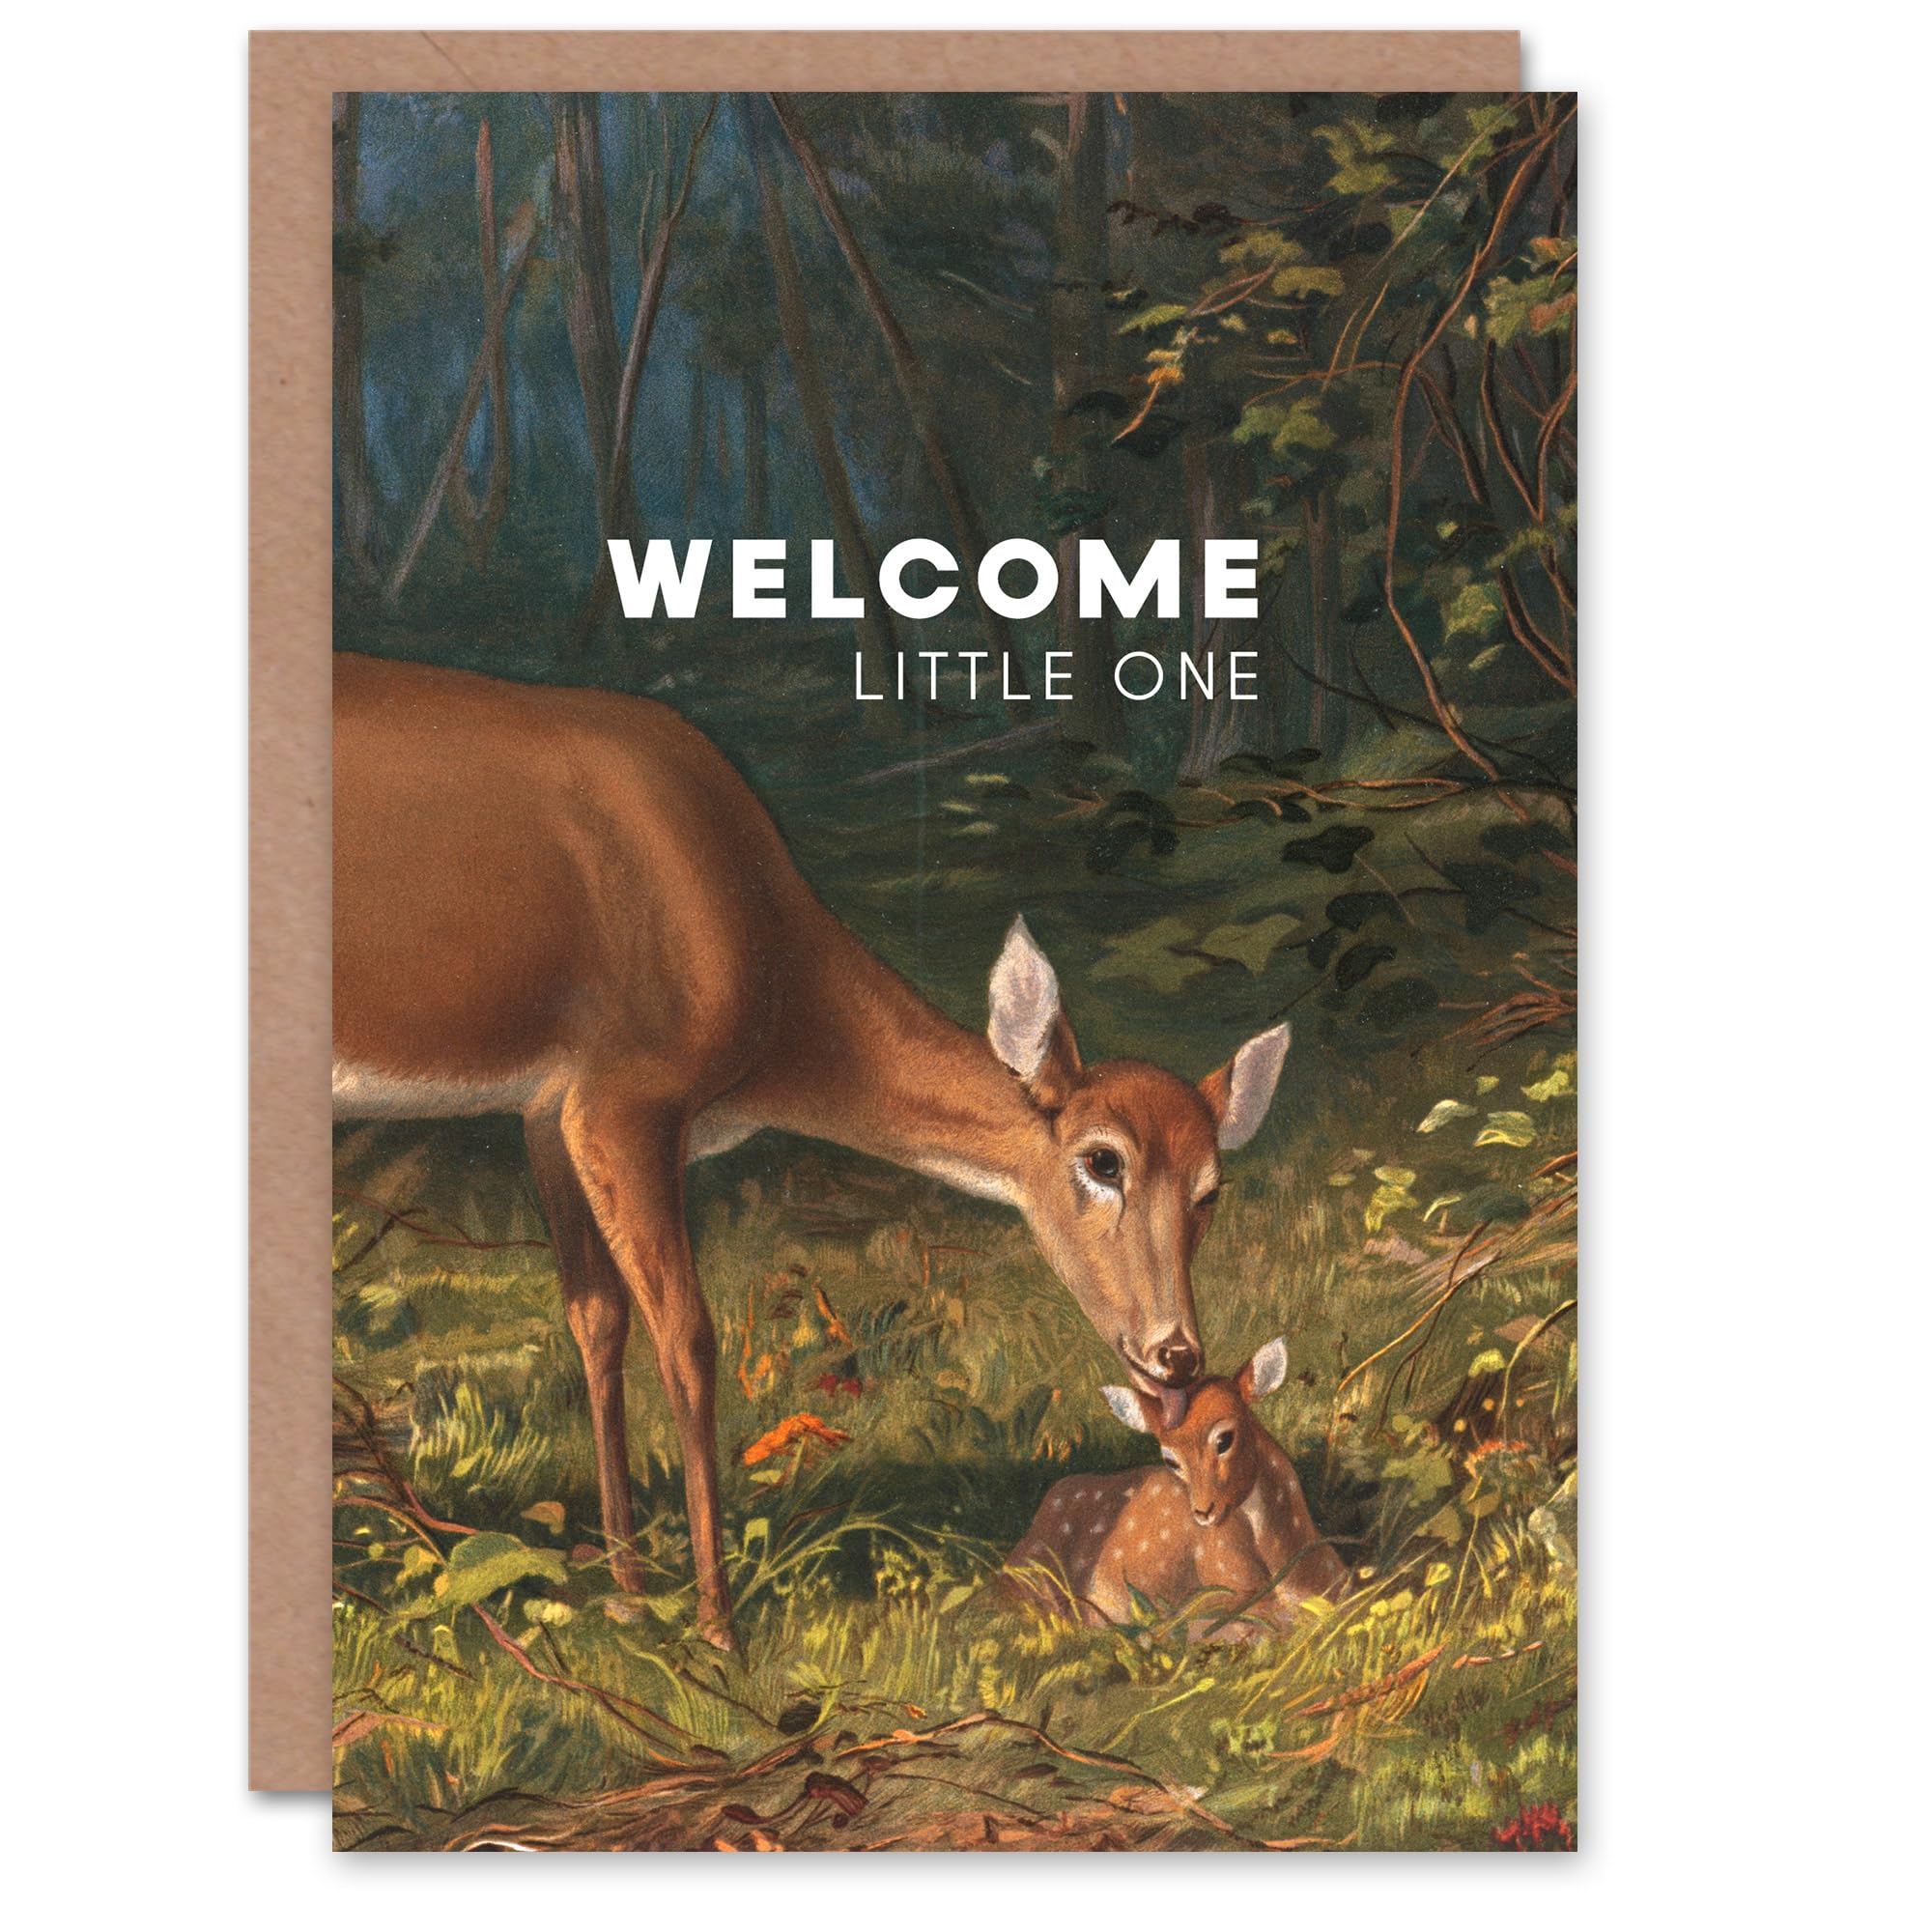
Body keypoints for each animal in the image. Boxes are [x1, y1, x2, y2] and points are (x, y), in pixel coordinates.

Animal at [333, 652, 1295, 1648]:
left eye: (1211, 1189)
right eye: (1102, 1161)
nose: (1176, 1353)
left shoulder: (550, 1109)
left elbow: (597, 1321)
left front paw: (630, 1588)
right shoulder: (624, 1093)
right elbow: (689, 1337)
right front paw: (716, 1623)